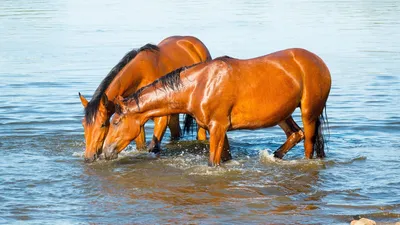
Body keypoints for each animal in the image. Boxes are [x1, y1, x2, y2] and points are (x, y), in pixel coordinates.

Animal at [76, 35, 211, 163]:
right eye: (83, 124)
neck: (141, 75)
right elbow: (141, 146)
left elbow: (154, 147)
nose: (89, 157)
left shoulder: (161, 118)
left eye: (103, 124)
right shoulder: (134, 119)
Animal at [102, 48, 332, 166]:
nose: (105, 151)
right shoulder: (220, 130)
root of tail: (319, 61)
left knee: (308, 146)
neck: (200, 85)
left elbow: (213, 162)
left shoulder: (217, 128)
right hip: (283, 114)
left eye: (116, 122)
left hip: (309, 114)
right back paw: (275, 156)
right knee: (295, 134)